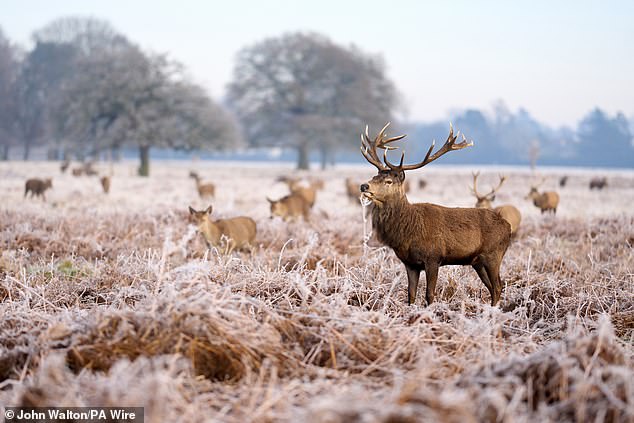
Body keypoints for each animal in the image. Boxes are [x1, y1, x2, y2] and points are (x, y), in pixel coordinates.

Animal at [358, 121, 512, 304]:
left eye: (388, 181)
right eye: (374, 177)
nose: (364, 186)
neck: (407, 231)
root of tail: (508, 226)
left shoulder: (433, 258)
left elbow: (429, 294)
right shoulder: (410, 263)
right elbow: (411, 294)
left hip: (493, 254)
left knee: (498, 286)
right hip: (478, 262)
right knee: (492, 287)